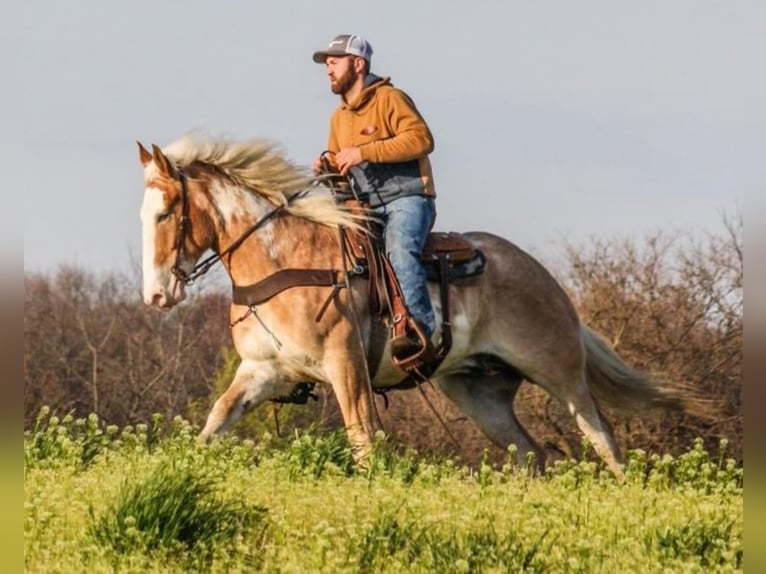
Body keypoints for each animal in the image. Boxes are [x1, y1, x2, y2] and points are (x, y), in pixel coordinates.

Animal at [138, 135, 688, 482]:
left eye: (165, 213)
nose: (157, 295)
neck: (283, 259)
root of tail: (547, 281)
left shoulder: (346, 364)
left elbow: (362, 438)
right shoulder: (262, 370)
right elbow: (215, 423)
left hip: (560, 374)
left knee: (603, 440)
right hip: (478, 391)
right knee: (531, 455)